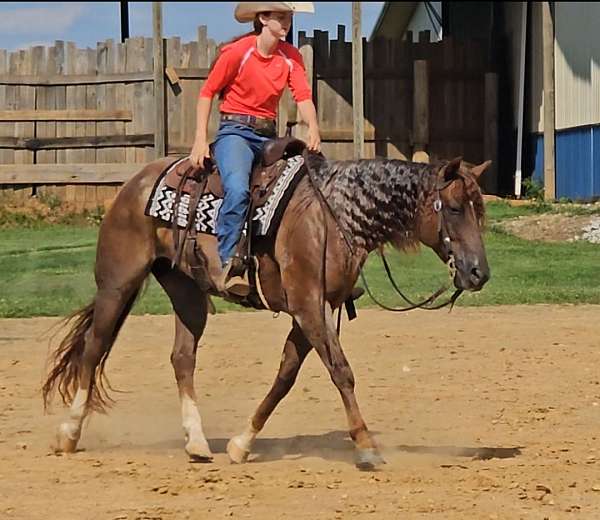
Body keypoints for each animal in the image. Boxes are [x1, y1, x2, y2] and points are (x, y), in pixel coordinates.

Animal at [43, 139, 492, 472]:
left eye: (481, 211)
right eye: (455, 208)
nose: (479, 272)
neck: (332, 216)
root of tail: (133, 183)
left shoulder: (311, 310)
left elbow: (286, 376)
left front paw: (241, 444)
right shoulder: (309, 306)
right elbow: (341, 372)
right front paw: (366, 446)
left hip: (186, 291)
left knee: (182, 357)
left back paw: (197, 442)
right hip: (117, 282)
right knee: (94, 347)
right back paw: (68, 434)